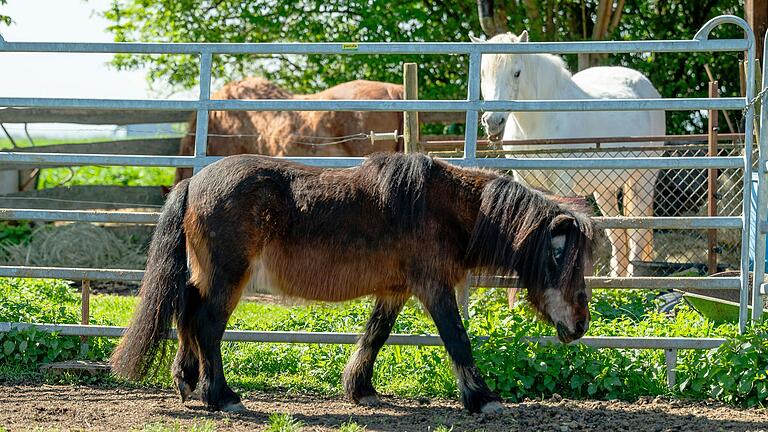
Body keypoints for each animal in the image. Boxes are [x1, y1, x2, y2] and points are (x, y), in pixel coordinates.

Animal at [111, 154, 596, 414]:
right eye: (561, 257)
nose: (581, 325)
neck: (441, 209)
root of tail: (193, 182)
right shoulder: (434, 288)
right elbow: (458, 340)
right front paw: (482, 398)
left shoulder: (395, 291)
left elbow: (374, 337)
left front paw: (360, 389)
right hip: (229, 277)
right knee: (207, 326)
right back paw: (222, 396)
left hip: (208, 276)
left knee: (188, 315)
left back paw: (187, 381)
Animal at [472, 31, 664, 276]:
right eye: (483, 73)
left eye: (517, 73)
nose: (493, 122)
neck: (538, 121)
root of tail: (647, 87)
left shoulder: (562, 184)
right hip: (605, 189)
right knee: (619, 235)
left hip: (643, 180)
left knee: (638, 230)